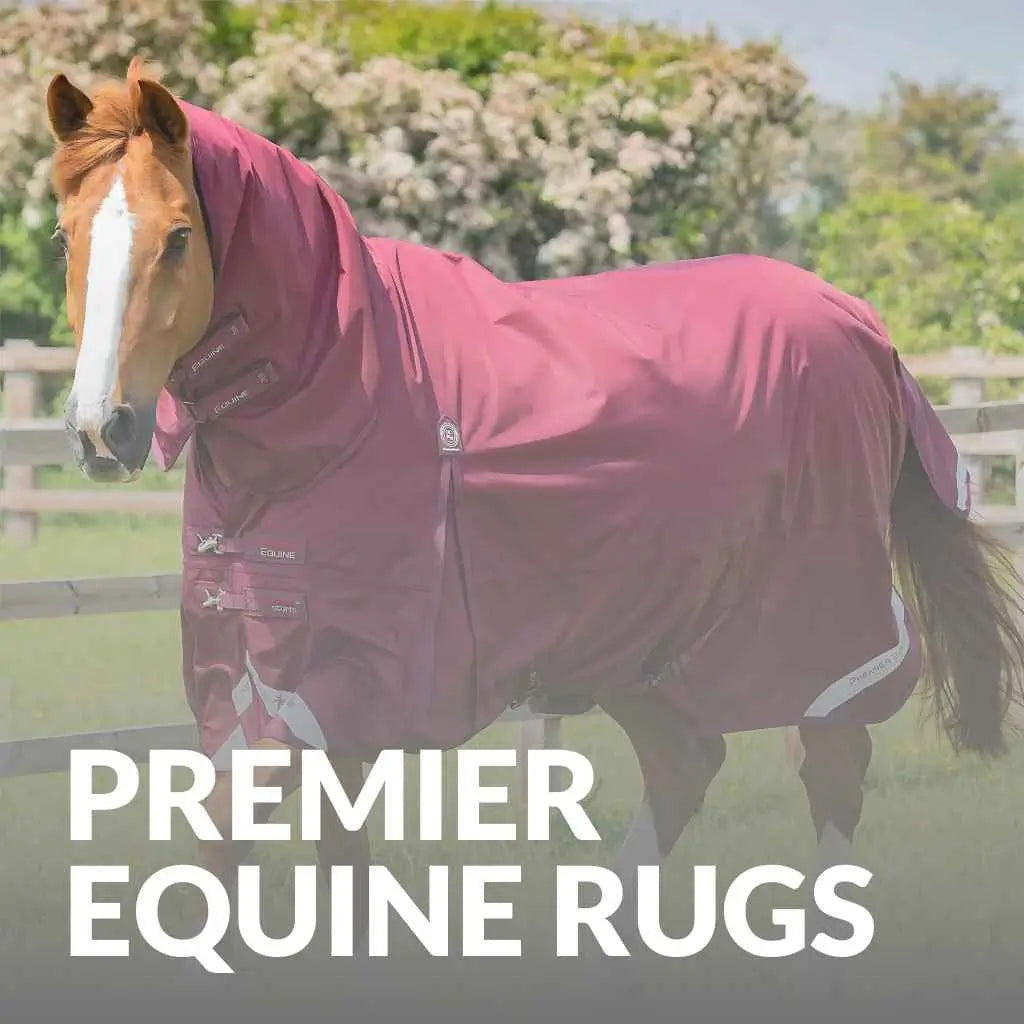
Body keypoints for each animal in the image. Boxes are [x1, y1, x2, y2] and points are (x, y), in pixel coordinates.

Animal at [44, 58, 1024, 966]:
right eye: (66, 233)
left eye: (179, 236)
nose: (102, 429)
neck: (349, 384)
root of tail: (864, 327)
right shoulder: (267, 665)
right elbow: (313, 847)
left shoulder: (347, 667)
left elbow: (231, 832)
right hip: (644, 634)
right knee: (684, 764)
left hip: (811, 625)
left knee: (831, 767)